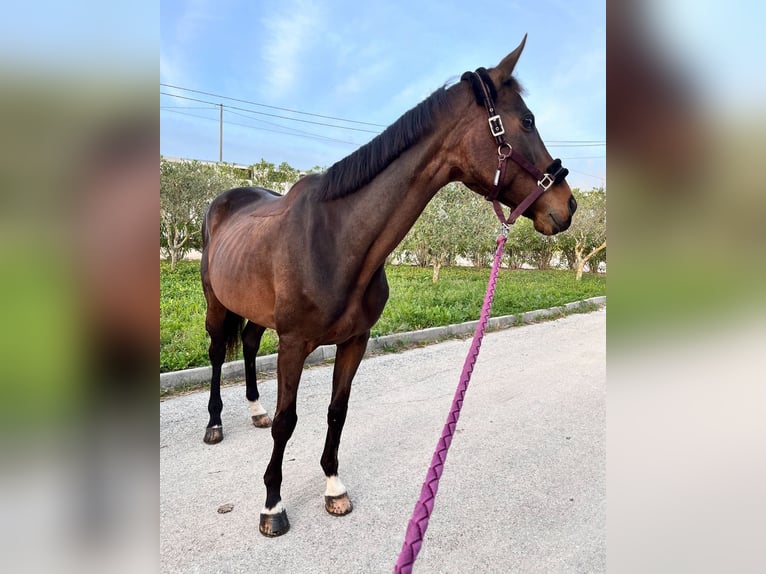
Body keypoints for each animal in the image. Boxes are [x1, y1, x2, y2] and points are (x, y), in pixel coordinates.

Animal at [201, 36, 580, 540]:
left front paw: (334, 487)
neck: (337, 239)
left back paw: (254, 410)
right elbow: (288, 422)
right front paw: (272, 505)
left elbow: (336, 412)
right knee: (217, 352)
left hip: (255, 311)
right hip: (215, 303)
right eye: (528, 120)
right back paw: (215, 424)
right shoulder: (294, 343)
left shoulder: (354, 342)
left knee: (245, 343)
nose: (568, 205)